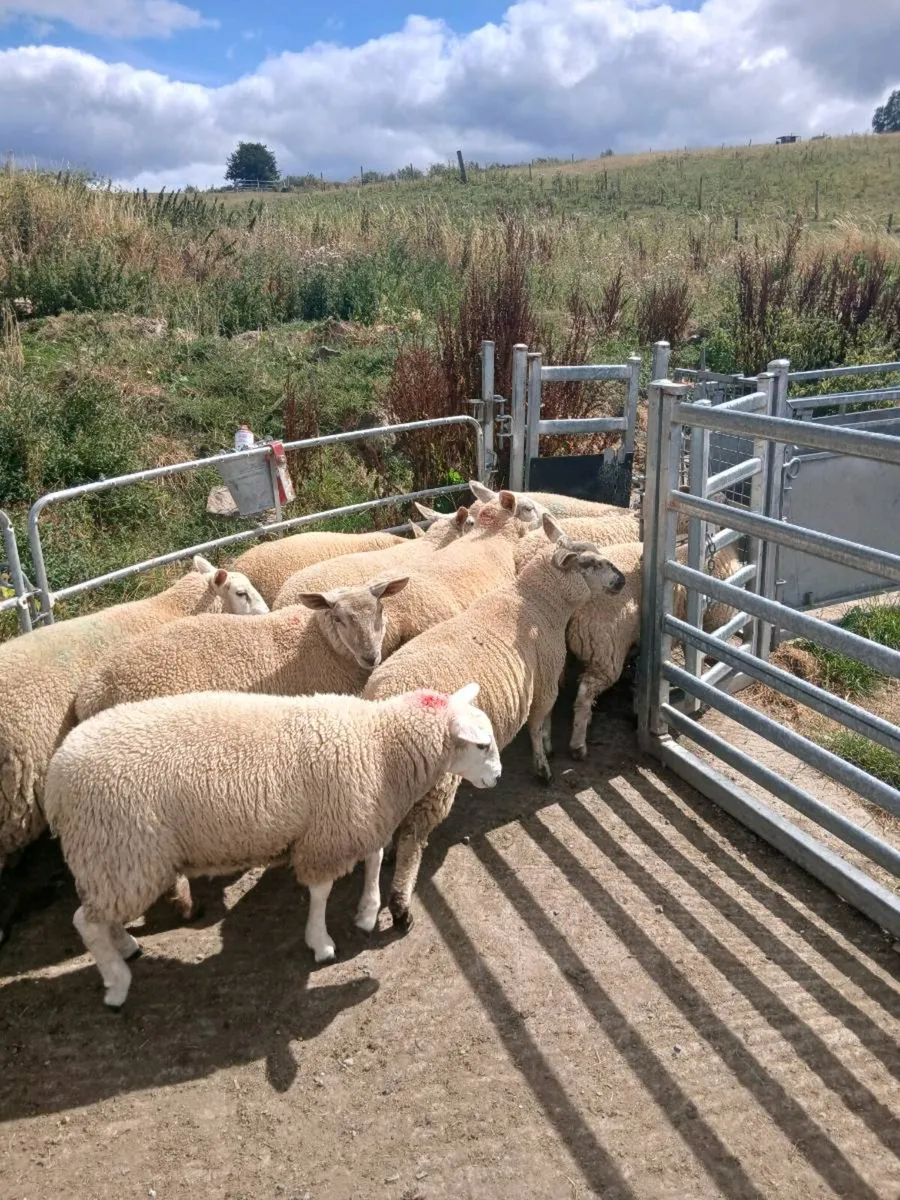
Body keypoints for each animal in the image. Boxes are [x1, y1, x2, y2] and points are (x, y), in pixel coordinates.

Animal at [46, 683, 501, 1008]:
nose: (496, 777)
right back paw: (116, 984)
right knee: (85, 922)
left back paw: (125, 947)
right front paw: (321, 942)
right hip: (125, 849)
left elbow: (373, 858)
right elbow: (321, 892)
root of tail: (56, 776)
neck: (379, 745)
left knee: (101, 913)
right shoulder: (328, 835)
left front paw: (367, 912)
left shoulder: (357, 818)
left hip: (112, 857)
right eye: (481, 745)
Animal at [363, 514, 627, 929]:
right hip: (439, 779)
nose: (622, 581)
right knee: (413, 837)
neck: (537, 602)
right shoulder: (546, 678)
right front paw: (544, 764)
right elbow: (538, 722)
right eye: (590, 563)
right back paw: (401, 906)